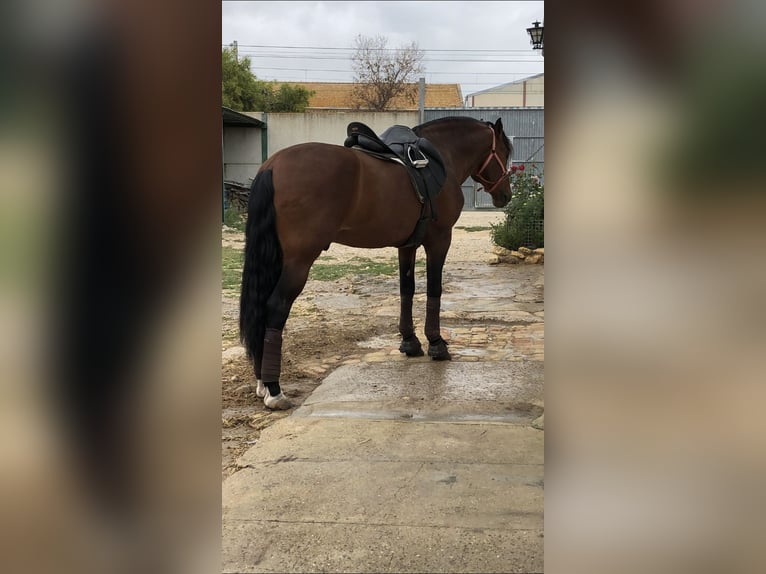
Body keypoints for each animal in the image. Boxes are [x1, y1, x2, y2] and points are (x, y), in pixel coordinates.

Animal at [240, 116, 516, 410]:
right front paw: (436, 343)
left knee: (261, 308)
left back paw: (262, 382)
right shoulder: (440, 240)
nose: (506, 196)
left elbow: (407, 290)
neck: (443, 156)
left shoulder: (407, 245)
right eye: (503, 152)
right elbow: (434, 290)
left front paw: (410, 342)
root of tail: (272, 165)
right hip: (298, 261)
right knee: (275, 307)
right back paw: (274, 389)